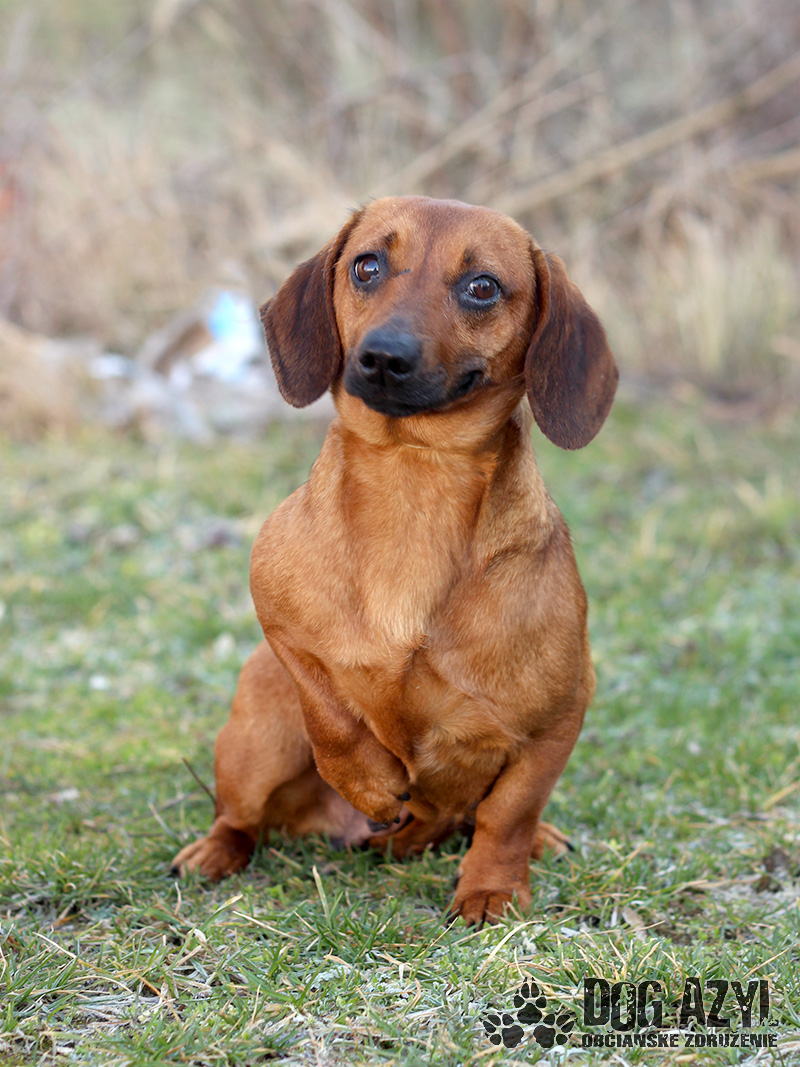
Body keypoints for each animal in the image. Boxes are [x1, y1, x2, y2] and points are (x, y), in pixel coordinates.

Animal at [172, 196, 618, 925]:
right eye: (367, 265)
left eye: (482, 286)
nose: (383, 356)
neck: (416, 472)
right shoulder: (280, 628)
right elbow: (331, 715)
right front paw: (371, 780)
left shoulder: (556, 721)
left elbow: (508, 814)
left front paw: (492, 887)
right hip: (257, 740)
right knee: (240, 817)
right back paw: (217, 851)